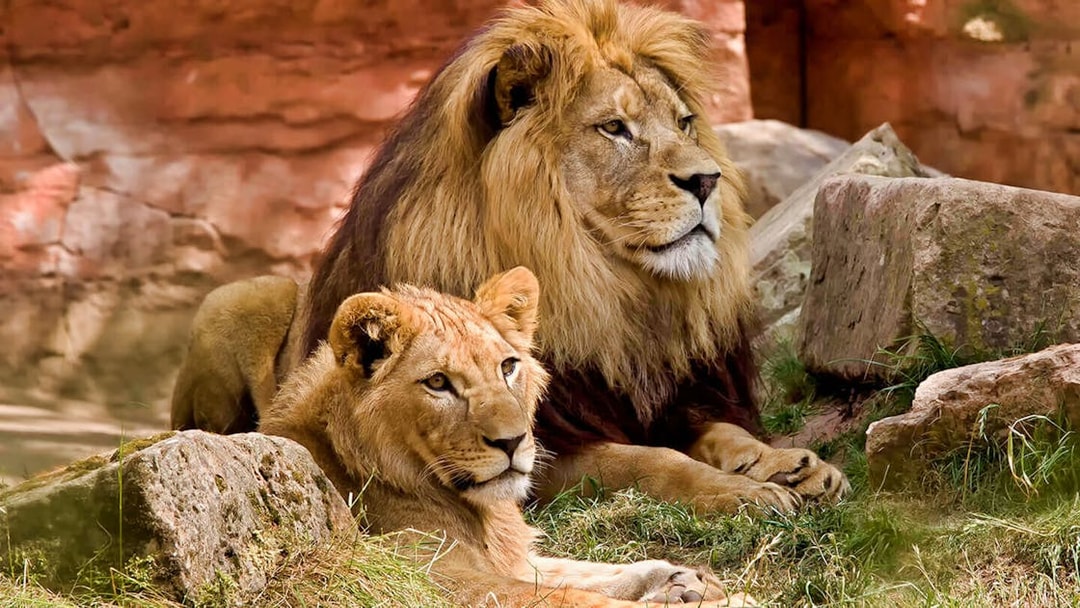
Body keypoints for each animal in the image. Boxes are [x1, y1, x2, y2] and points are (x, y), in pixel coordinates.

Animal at [171, 0, 848, 512]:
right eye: (615, 128)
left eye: (684, 123)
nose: (708, 180)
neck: (606, 292)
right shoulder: (535, 450)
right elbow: (651, 462)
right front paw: (745, 493)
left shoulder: (665, 394)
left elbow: (724, 430)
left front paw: (791, 464)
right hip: (234, 297)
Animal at [259, 267, 754, 607]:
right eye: (438, 383)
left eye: (508, 366)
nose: (514, 441)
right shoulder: (427, 580)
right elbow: (574, 598)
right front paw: (723, 599)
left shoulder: (513, 560)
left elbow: (585, 573)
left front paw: (682, 580)